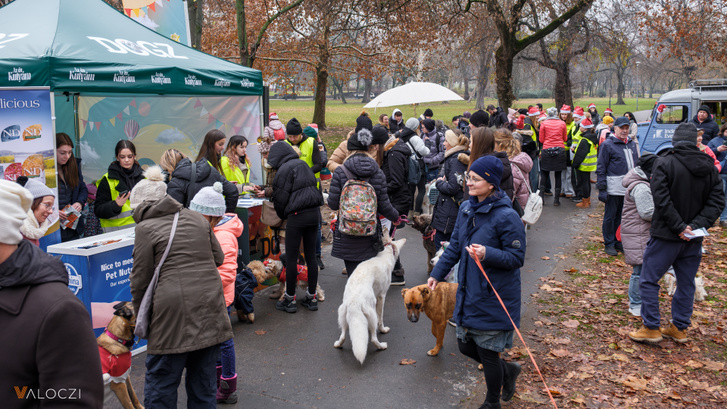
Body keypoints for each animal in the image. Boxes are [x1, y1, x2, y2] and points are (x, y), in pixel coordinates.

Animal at [334, 230, 406, 364]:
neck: (384, 256)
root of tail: (354, 303)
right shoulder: (381, 297)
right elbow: (381, 319)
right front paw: (383, 329)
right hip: (371, 314)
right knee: (373, 338)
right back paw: (382, 346)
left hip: (342, 316)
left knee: (343, 335)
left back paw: (338, 344)